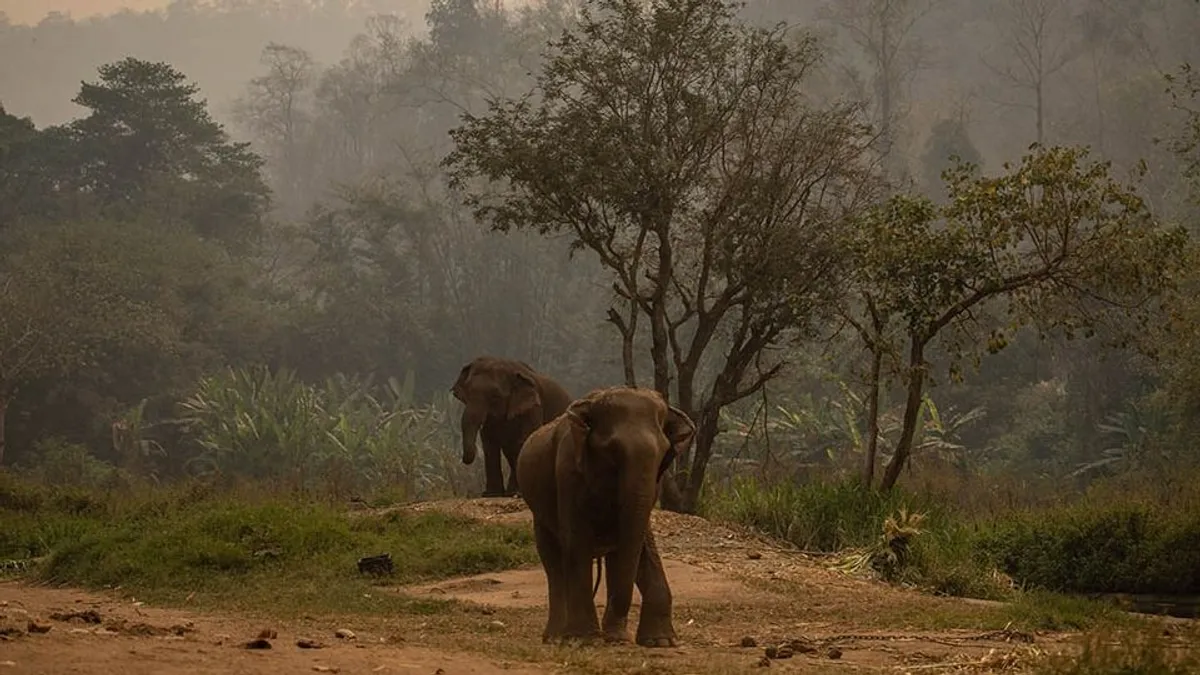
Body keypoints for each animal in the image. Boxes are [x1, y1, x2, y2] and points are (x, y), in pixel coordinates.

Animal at [451, 355, 571, 497]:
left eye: (495, 396)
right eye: (468, 392)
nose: (463, 459)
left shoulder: (533, 409)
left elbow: (523, 440)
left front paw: (515, 493)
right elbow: (490, 444)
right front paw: (491, 494)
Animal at [513, 386, 696, 643]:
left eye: (663, 451)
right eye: (612, 450)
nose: (619, 637)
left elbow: (641, 543)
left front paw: (660, 641)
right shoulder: (568, 472)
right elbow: (577, 539)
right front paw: (584, 639)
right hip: (539, 512)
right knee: (553, 561)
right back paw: (556, 637)